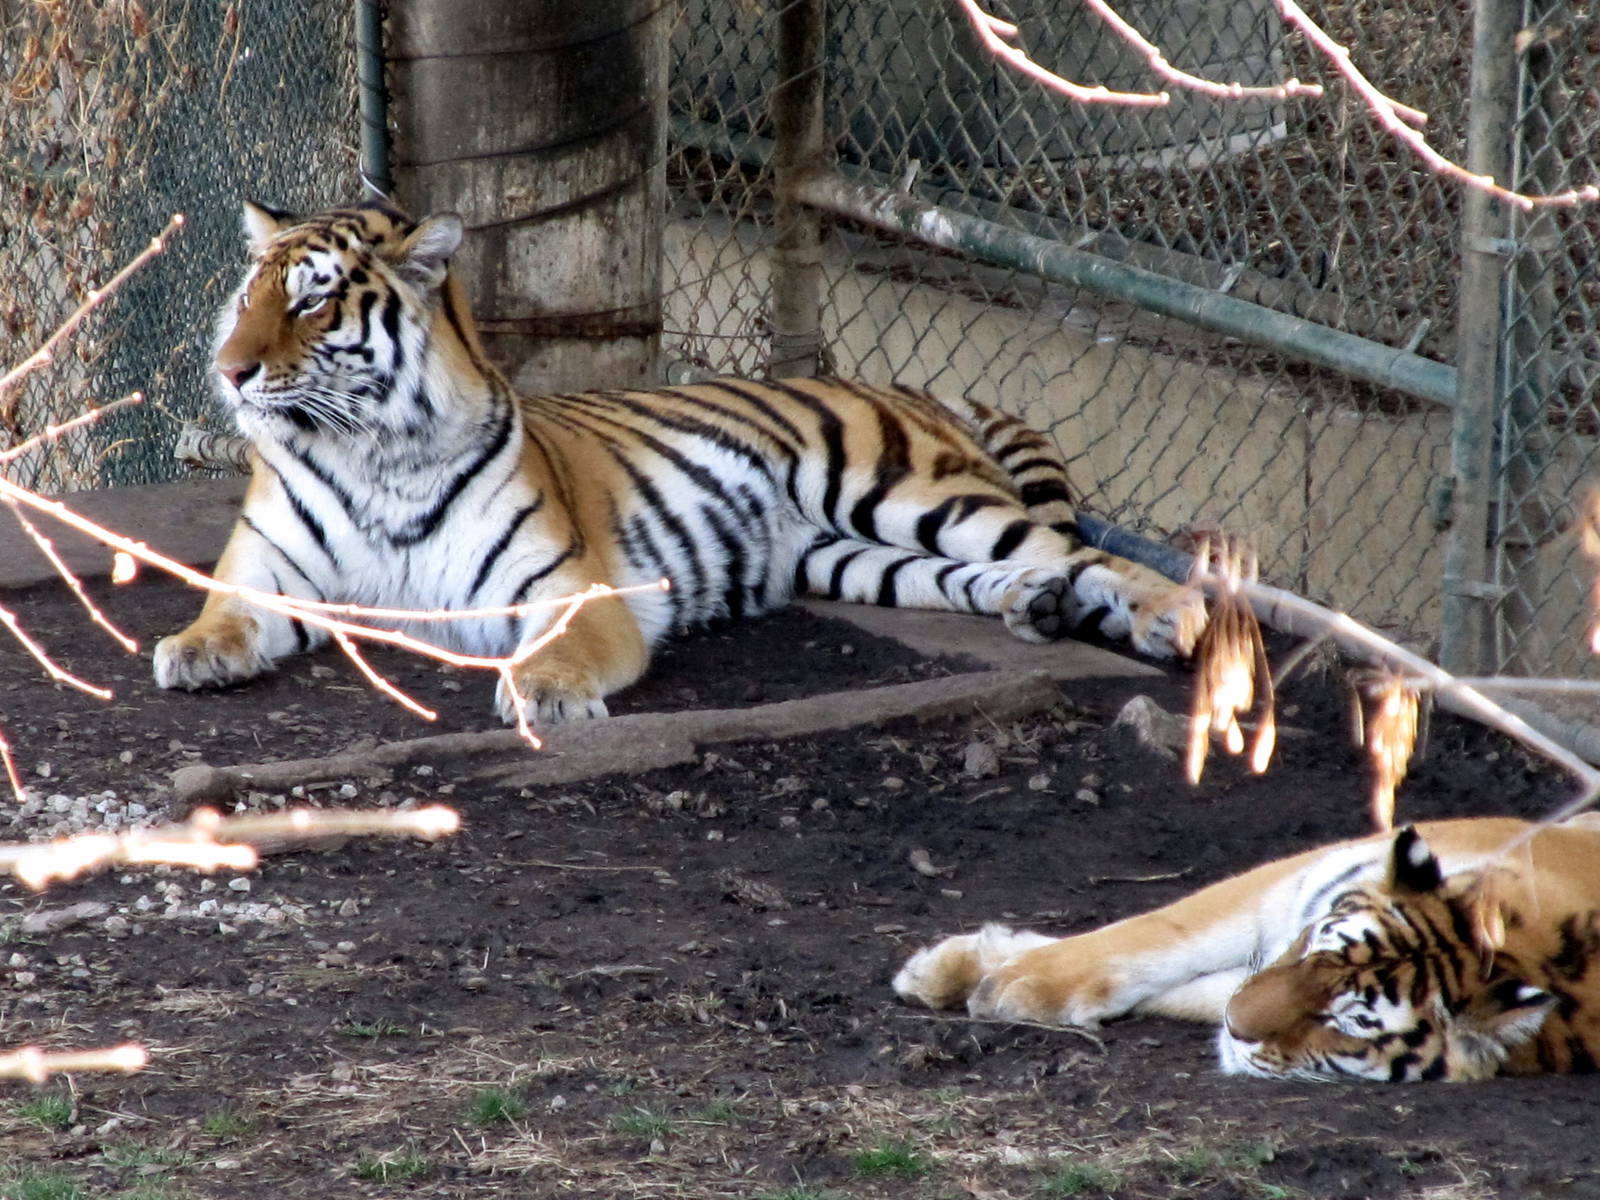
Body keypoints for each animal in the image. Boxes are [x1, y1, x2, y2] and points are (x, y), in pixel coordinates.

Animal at [152, 199, 1206, 728]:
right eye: (248, 296)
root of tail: (918, 388)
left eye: (311, 302)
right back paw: (1035, 607)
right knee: (983, 574)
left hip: (908, 492)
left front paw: (544, 694)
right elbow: (226, 611)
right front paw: (194, 651)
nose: (230, 369)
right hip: (849, 555)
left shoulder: (572, 589)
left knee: (1092, 555)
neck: (375, 450)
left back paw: (1167, 619)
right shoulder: (271, 568)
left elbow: (561, 649)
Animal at [893, 815, 1600, 1081]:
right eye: (1316, 949)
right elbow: (1157, 935)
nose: (1238, 1029)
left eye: (1347, 1025)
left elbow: (1201, 987)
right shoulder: (1291, 884)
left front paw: (997, 978)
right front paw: (970, 971)